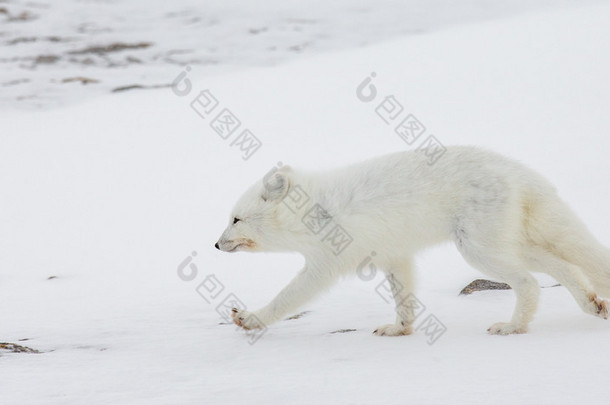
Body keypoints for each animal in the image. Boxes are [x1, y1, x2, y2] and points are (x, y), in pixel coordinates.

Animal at [214, 146, 608, 334]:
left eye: (235, 219)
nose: (216, 245)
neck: (313, 210)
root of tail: (516, 169)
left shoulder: (324, 265)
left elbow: (287, 298)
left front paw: (250, 319)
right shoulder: (394, 255)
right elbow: (403, 299)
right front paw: (400, 330)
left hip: (479, 249)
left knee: (529, 282)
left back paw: (513, 327)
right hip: (511, 243)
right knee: (565, 267)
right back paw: (593, 306)